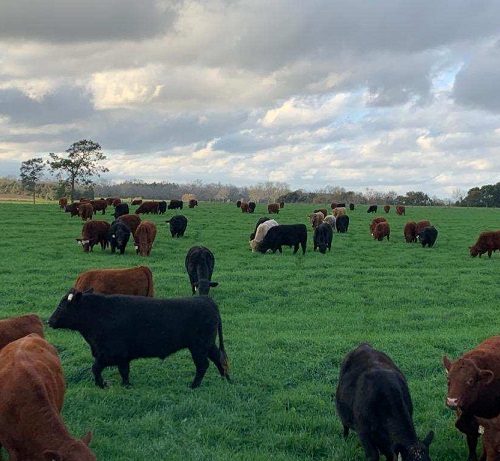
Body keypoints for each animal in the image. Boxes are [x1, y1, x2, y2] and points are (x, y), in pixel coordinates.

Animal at [47, 292, 231, 388]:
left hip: (199, 347)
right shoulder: (122, 357)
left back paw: (194, 385)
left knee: (203, 365)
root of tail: (207, 300)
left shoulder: (109, 354)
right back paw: (226, 379)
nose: (49, 321)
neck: (100, 314)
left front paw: (103, 384)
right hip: (208, 345)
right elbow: (124, 371)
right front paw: (126, 385)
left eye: (62, 305)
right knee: (219, 359)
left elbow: (96, 368)